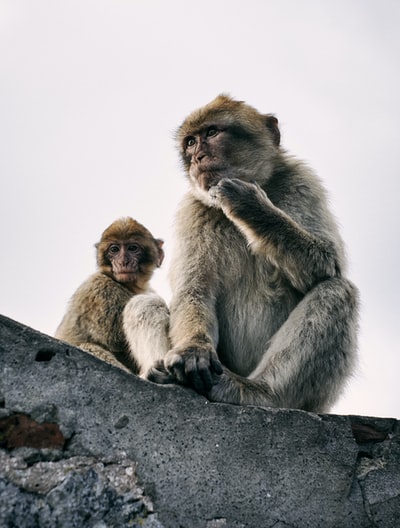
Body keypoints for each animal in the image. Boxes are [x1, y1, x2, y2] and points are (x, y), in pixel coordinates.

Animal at [128, 96, 360, 412]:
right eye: (190, 142)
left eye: (212, 133)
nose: (197, 157)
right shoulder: (193, 211)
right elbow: (194, 289)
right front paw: (194, 350)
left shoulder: (302, 183)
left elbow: (326, 264)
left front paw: (250, 205)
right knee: (142, 302)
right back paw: (163, 373)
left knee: (336, 291)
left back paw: (260, 392)